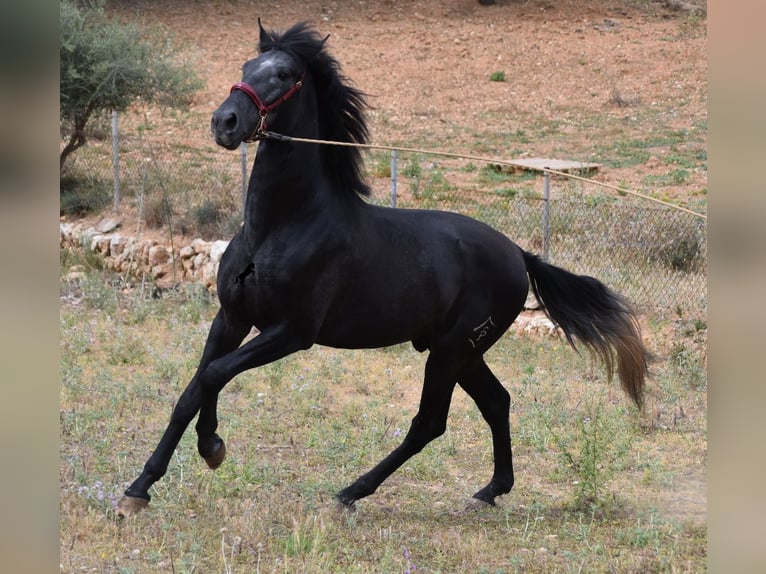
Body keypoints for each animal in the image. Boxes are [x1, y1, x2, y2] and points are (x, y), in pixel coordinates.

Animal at [117, 21, 652, 516]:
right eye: (247, 67)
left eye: (285, 74)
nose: (224, 122)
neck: (282, 226)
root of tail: (520, 255)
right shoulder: (230, 318)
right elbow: (192, 389)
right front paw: (139, 489)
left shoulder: (290, 332)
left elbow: (214, 376)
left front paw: (211, 447)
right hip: (458, 351)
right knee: (496, 402)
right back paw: (489, 491)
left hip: (452, 350)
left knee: (429, 423)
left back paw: (350, 492)